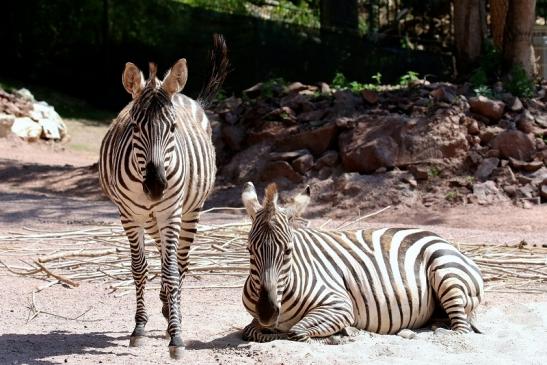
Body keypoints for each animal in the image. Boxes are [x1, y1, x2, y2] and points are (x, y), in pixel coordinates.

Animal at [99, 34, 228, 358]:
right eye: (134, 127)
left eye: (172, 128)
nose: (156, 186)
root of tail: (185, 96)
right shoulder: (129, 215)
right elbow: (139, 269)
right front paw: (139, 327)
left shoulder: (171, 212)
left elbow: (170, 270)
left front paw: (176, 335)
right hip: (151, 218)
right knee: (161, 253)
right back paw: (165, 305)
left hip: (188, 212)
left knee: (180, 262)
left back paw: (173, 310)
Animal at [240, 182, 484, 342]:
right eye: (249, 250)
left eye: (289, 251)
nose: (267, 312)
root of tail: (442, 239)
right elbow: (251, 332)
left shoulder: (340, 304)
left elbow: (296, 332)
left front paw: (345, 333)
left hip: (446, 270)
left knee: (461, 328)